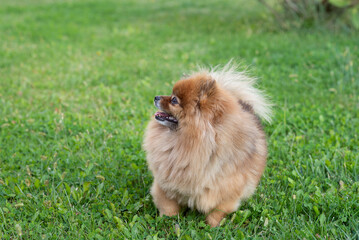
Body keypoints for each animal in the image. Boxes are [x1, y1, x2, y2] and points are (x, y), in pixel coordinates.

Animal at [142, 62, 272, 227]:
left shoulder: (226, 192)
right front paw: (167, 221)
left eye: (174, 100)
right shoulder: (166, 183)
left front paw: (213, 227)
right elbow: (168, 205)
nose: (156, 97)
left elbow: (217, 212)